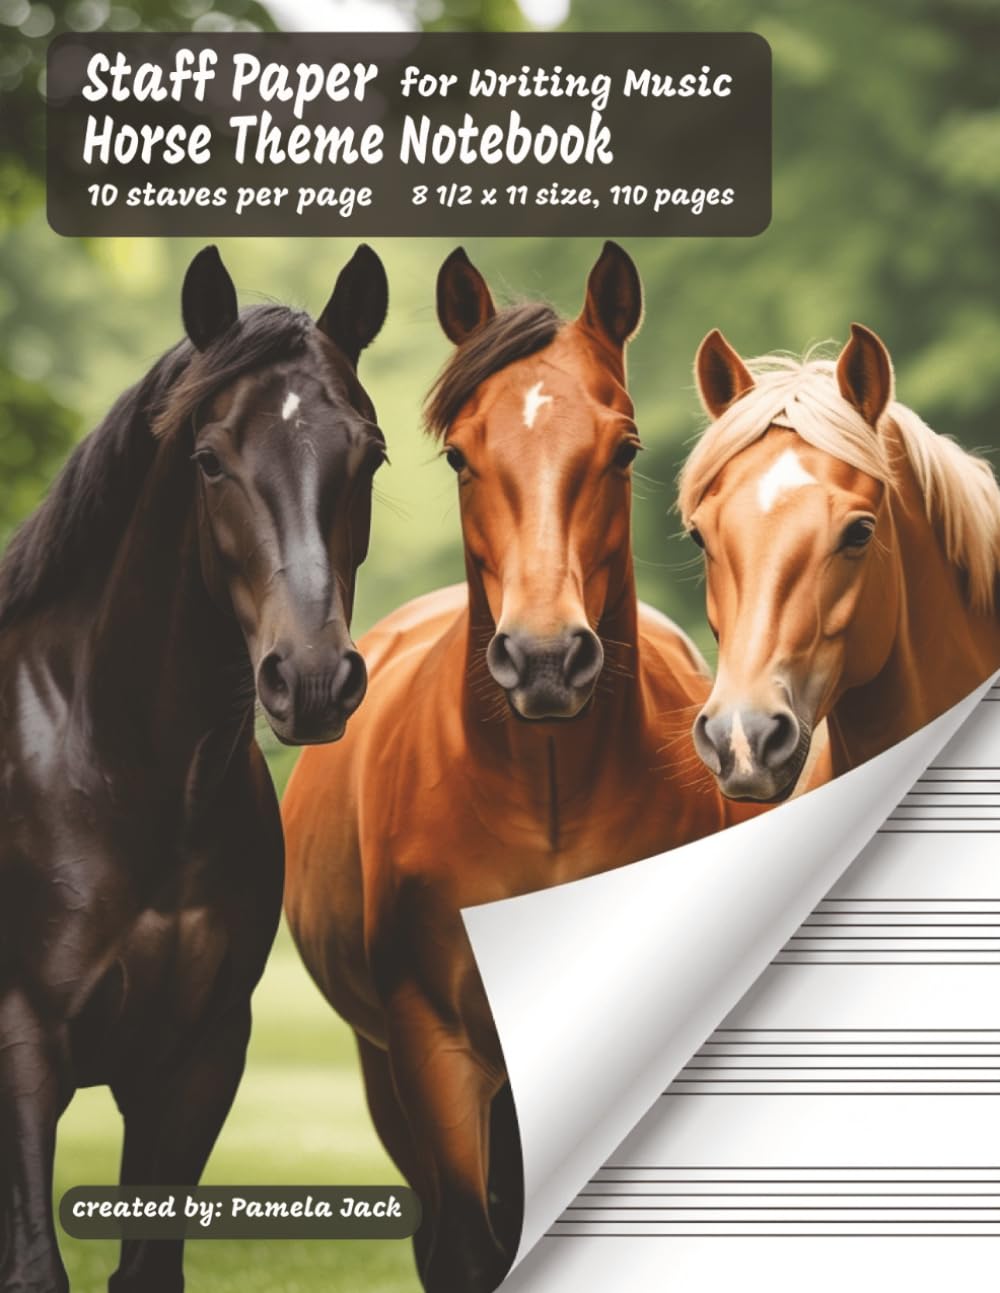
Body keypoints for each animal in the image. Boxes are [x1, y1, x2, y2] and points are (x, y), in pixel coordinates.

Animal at [282, 242, 766, 1293]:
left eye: (623, 447)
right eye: (461, 454)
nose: (545, 658)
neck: (545, 808)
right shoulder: (436, 1049)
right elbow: (471, 1243)